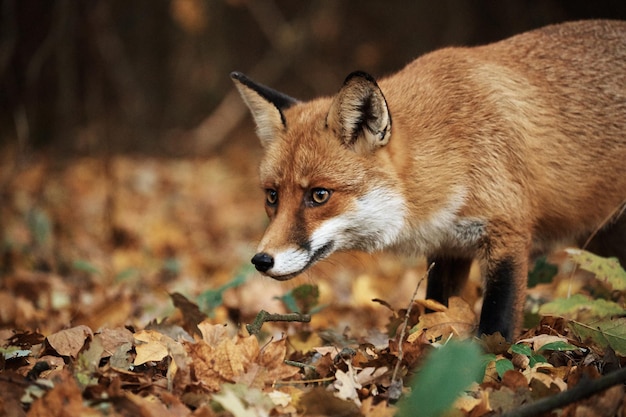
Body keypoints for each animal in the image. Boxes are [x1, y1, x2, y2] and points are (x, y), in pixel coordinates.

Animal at [230, 19, 624, 340]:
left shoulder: (508, 234)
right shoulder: (448, 248)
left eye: (319, 195)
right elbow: (440, 311)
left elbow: (494, 329)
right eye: (272, 195)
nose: (261, 260)